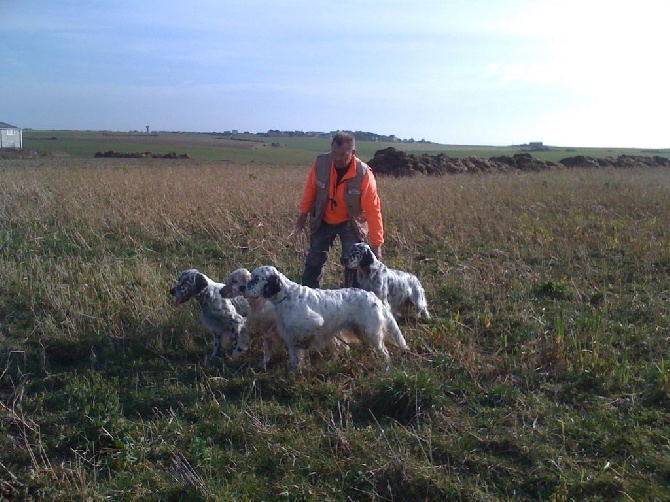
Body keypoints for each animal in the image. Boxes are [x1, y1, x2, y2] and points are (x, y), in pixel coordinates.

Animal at [242, 264, 410, 370]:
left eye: (256, 279)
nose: (243, 287)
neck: (286, 297)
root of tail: (374, 298)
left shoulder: (314, 323)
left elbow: (307, 342)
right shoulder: (289, 337)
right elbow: (294, 359)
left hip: (371, 333)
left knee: (384, 352)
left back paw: (386, 368)